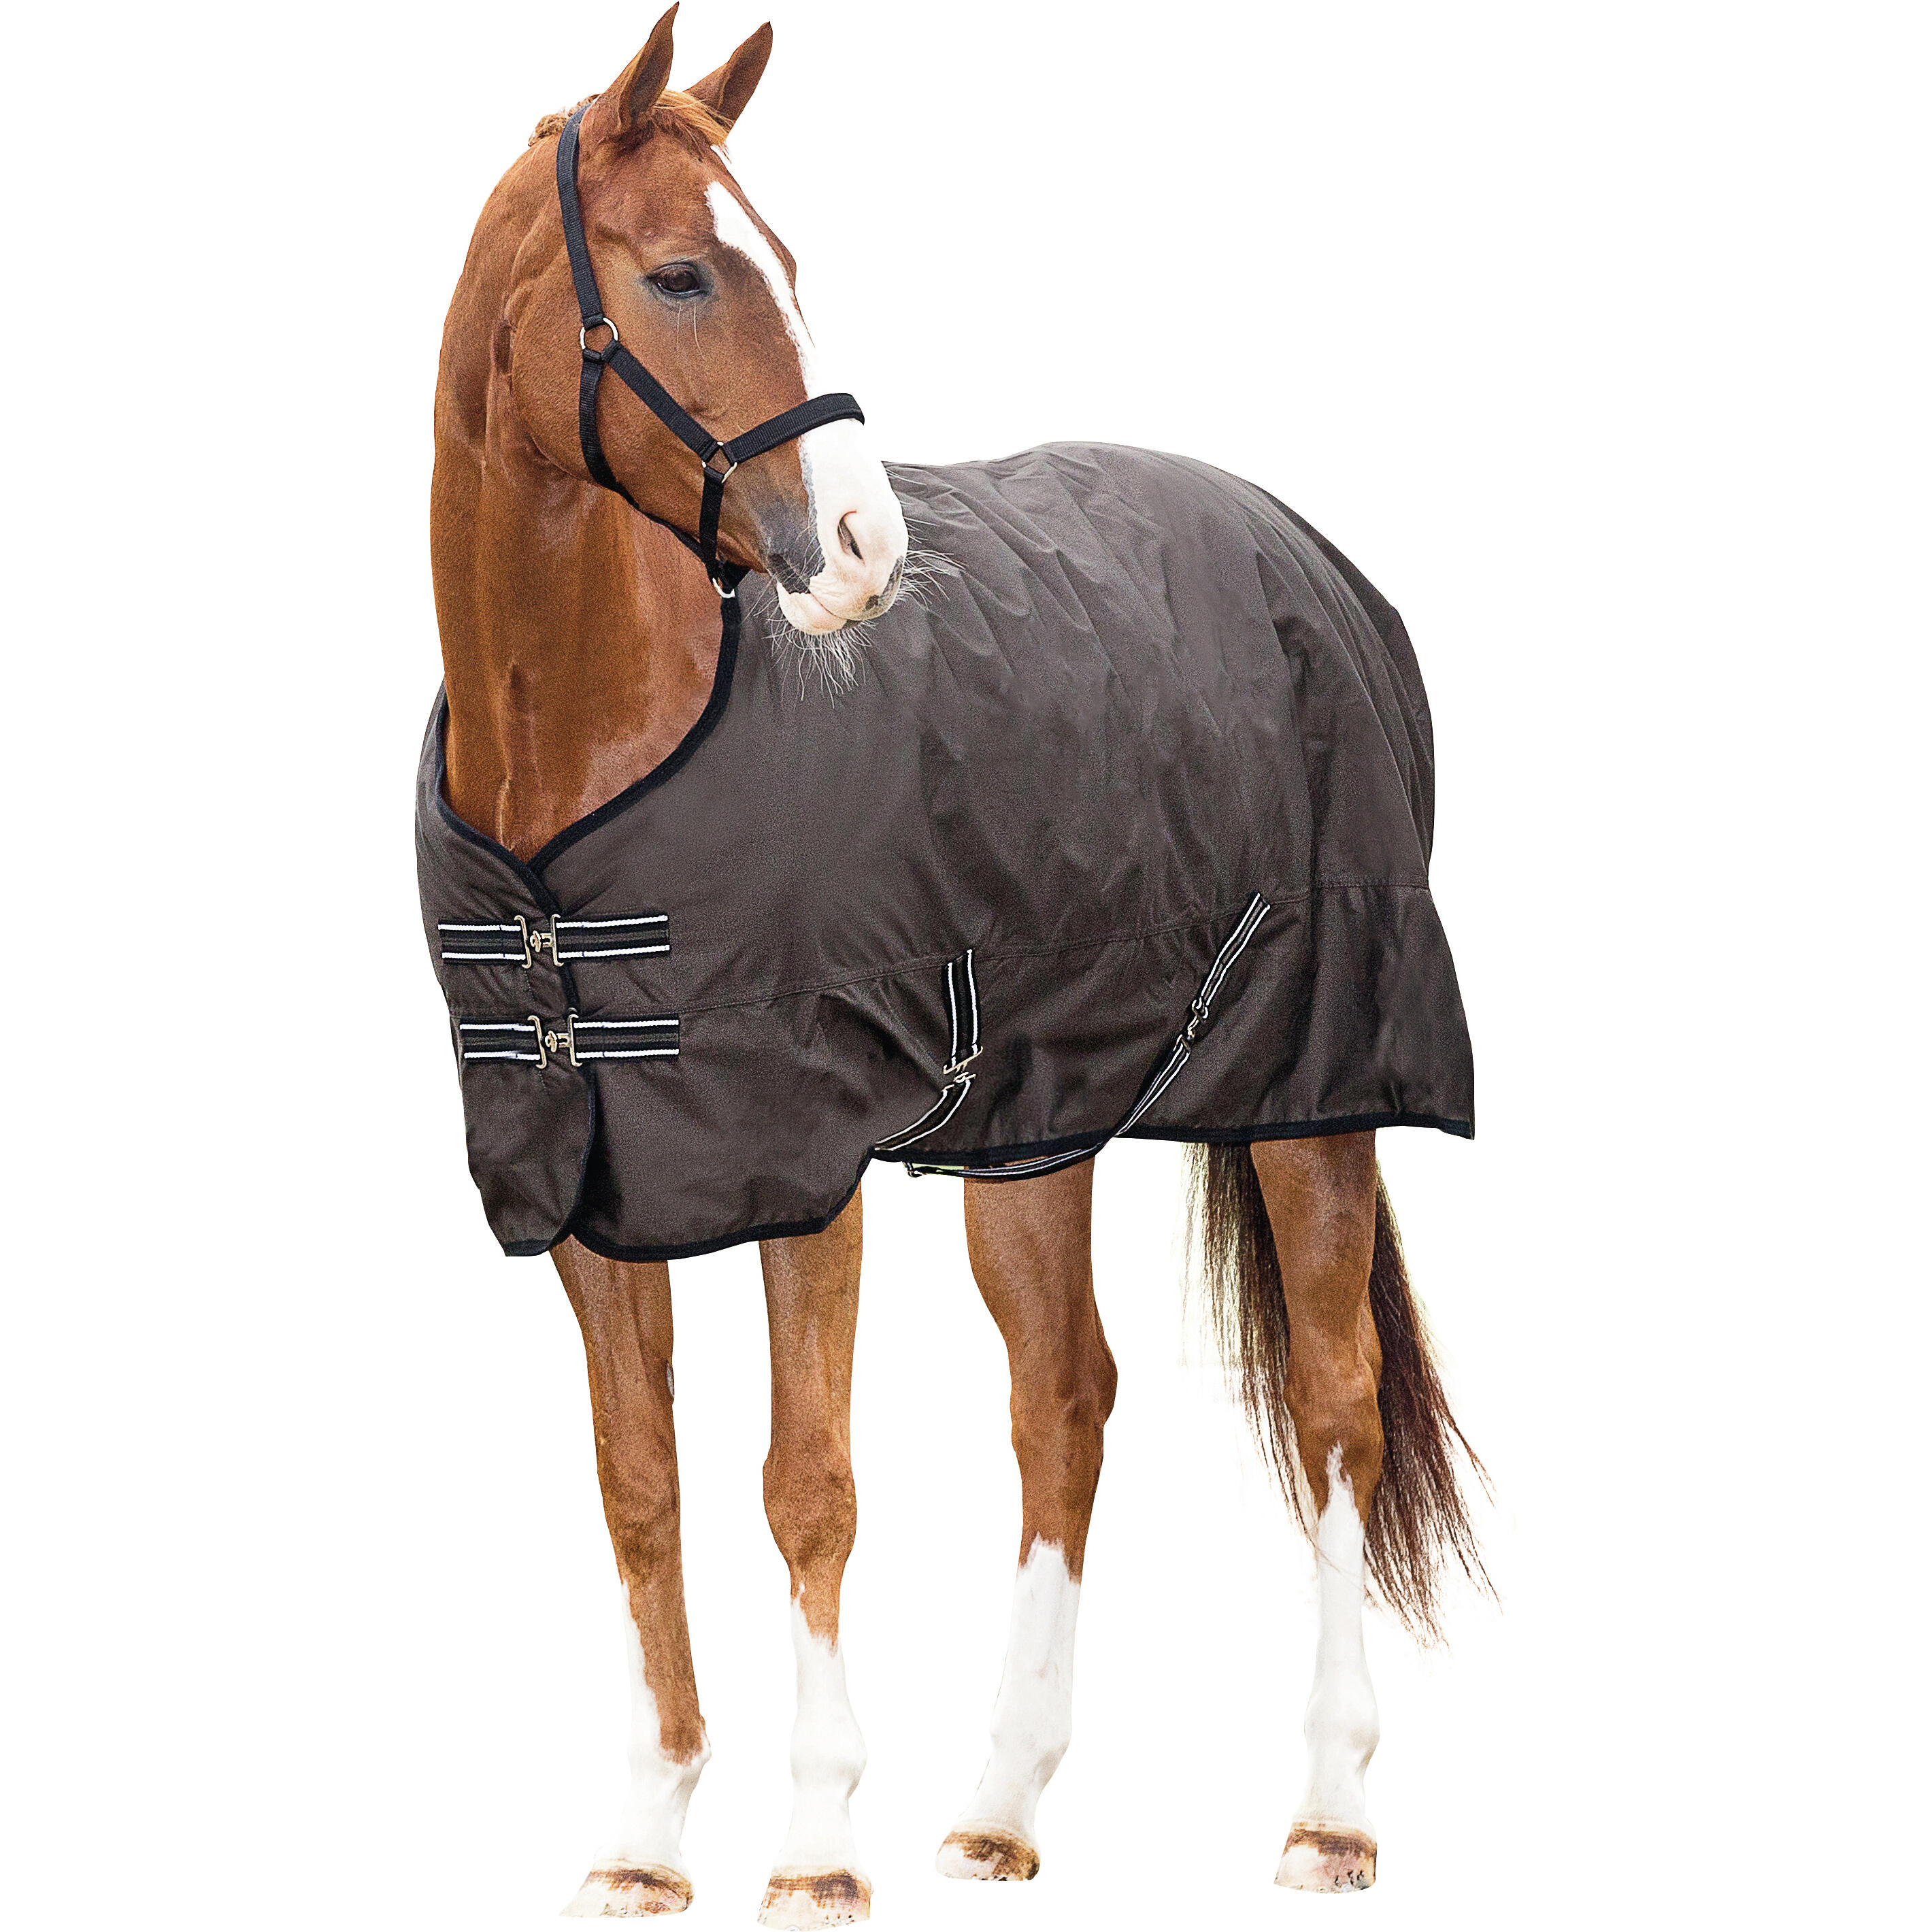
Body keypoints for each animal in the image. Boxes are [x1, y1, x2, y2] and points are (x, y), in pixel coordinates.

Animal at [427, 11, 1484, 1921]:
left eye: (788, 261)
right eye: (683, 272)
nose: (863, 555)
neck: (583, 778)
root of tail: (1302, 550)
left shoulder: (800, 1170)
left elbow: (807, 1483)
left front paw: (813, 1843)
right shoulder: (596, 1184)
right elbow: (640, 1488)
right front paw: (645, 1837)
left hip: (1318, 1089)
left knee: (1333, 1409)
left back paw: (1326, 1812)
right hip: (1034, 1122)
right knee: (1064, 1397)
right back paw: (1001, 1806)